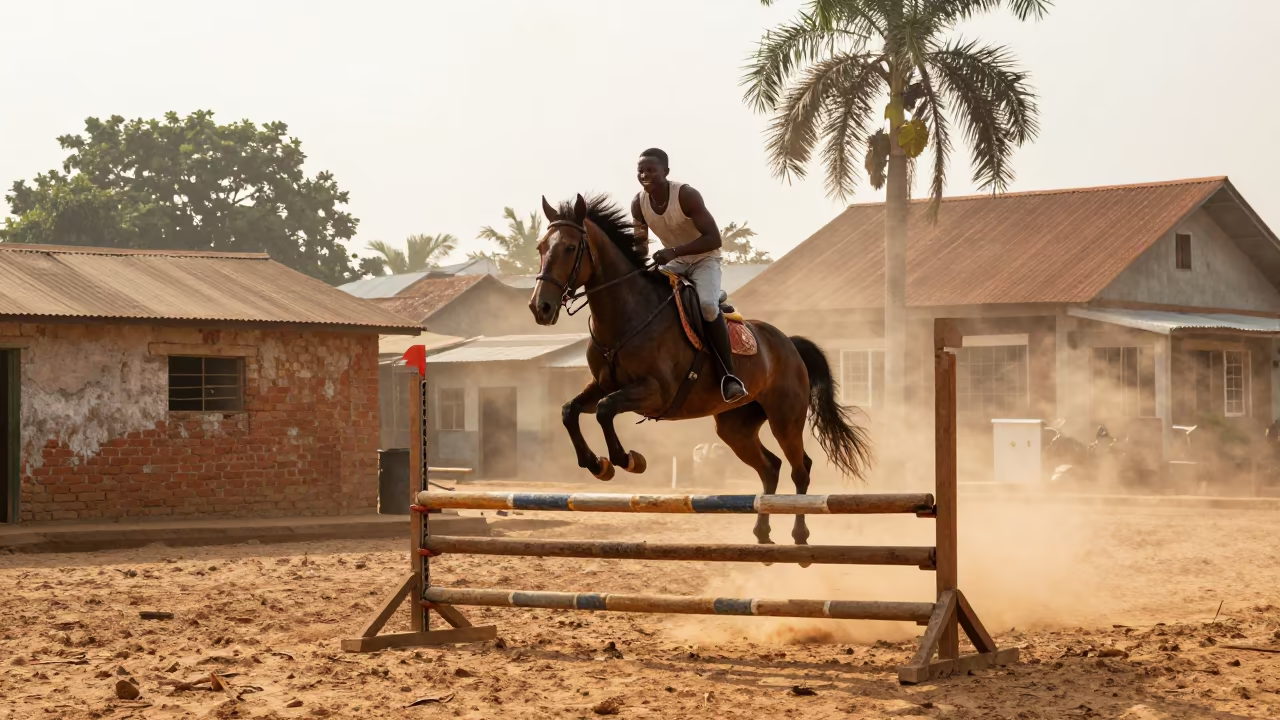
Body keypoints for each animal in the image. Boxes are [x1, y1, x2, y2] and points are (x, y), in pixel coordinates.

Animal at [528, 193, 871, 547]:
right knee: (770, 467)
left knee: (799, 468)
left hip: (784, 417)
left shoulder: (655, 391)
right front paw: (596, 464)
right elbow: (570, 410)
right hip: (735, 427)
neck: (626, 315)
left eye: (570, 248)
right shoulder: (602, 384)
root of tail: (788, 343)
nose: (541, 308)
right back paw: (762, 532)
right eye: (541, 247)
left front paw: (628, 460)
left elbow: (605, 410)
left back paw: (799, 534)